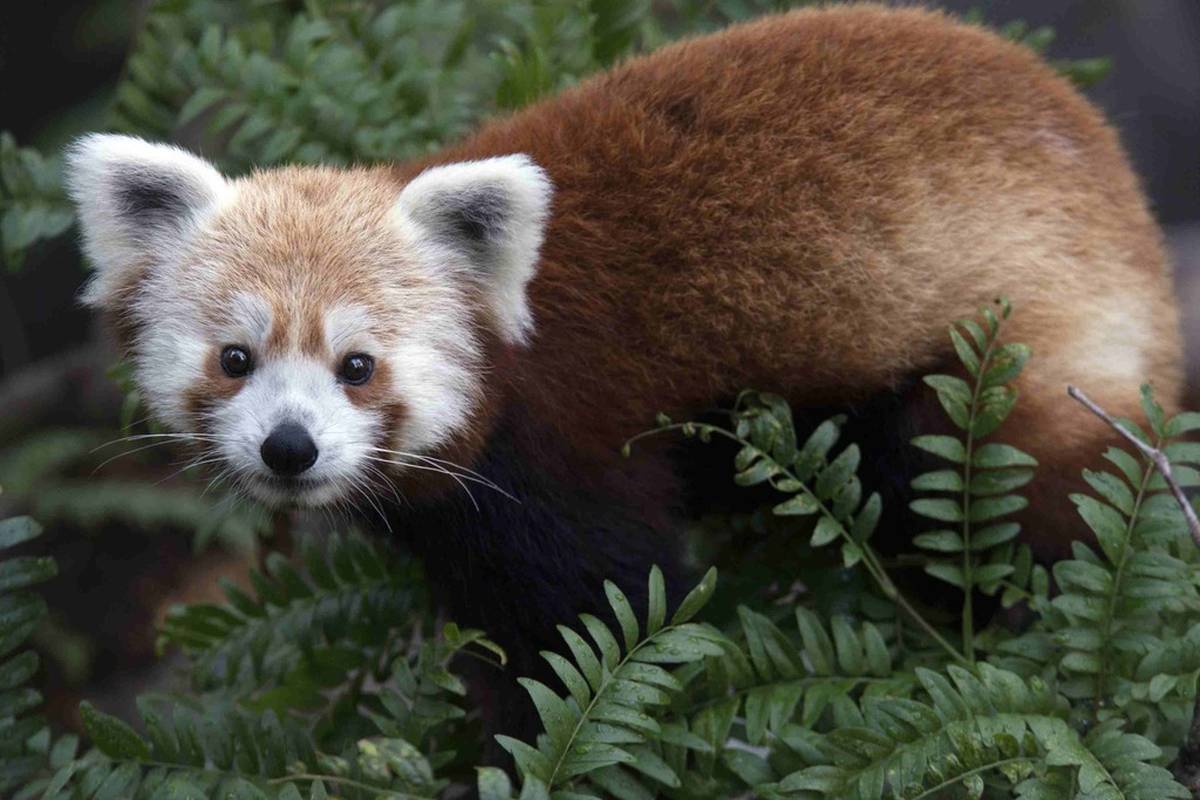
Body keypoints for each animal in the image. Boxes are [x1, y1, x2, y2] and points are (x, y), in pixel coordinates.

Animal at [65, 6, 1180, 743]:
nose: (289, 449)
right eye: (236, 359)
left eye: (357, 366)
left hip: (1009, 354)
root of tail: (1122, 193)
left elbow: (607, 607)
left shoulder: (567, 442)